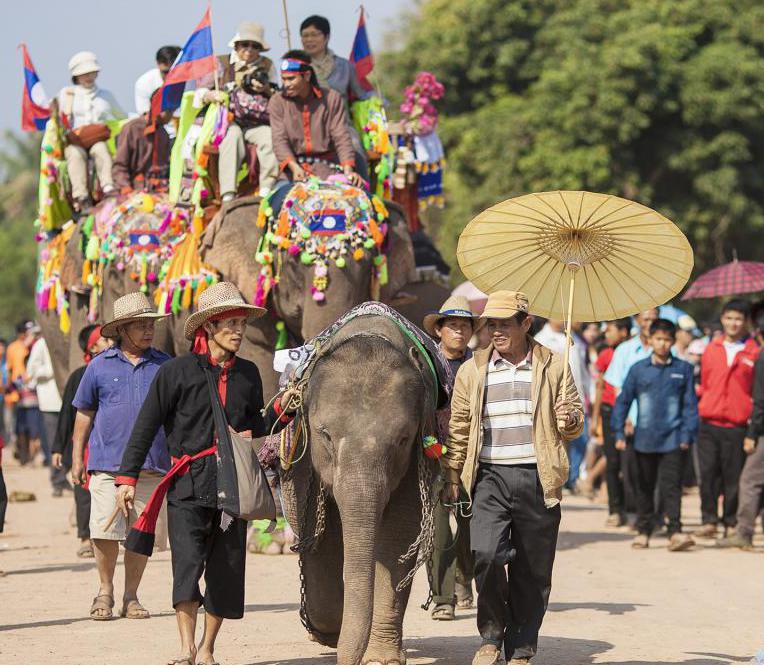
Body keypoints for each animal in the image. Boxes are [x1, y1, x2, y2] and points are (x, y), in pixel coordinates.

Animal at [278, 312, 438, 664]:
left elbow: (399, 534)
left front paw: (379, 659)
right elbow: (318, 533)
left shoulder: (415, 457)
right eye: (325, 435)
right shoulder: (306, 458)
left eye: (402, 438)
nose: (347, 658)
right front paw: (326, 633)